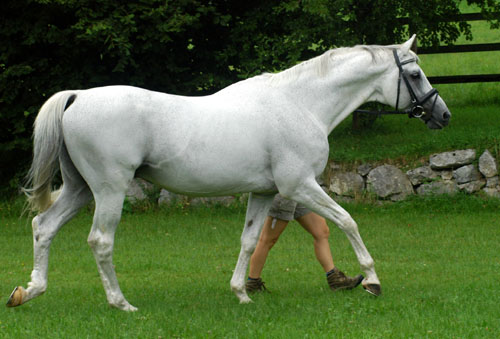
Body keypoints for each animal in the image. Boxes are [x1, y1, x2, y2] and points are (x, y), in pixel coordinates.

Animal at [7, 33, 450, 310]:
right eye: (414, 74)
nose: (441, 114)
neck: (300, 103)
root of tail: (77, 97)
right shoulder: (300, 186)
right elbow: (347, 221)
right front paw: (372, 280)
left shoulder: (266, 193)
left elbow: (250, 241)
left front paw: (241, 293)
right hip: (108, 190)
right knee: (100, 241)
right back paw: (121, 303)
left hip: (80, 188)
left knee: (44, 227)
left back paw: (29, 291)